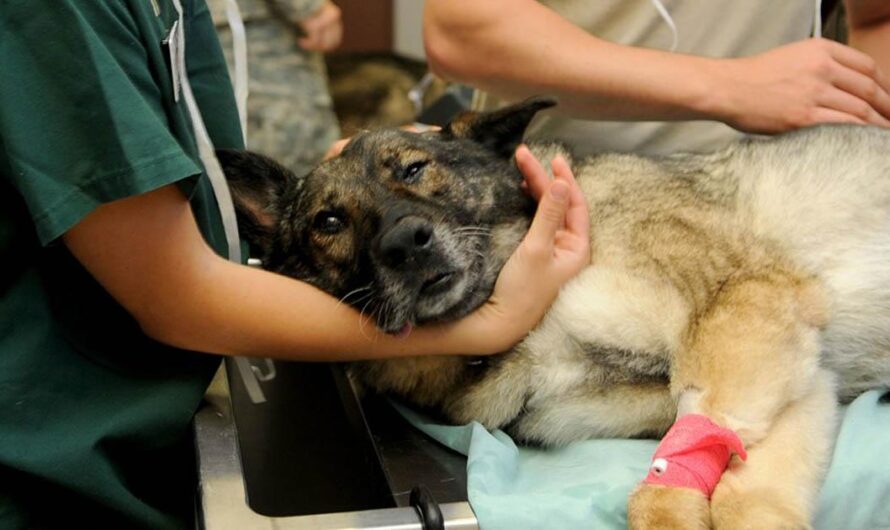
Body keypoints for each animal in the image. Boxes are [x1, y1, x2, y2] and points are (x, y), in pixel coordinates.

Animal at [219, 97, 888, 524]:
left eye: (413, 168)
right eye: (329, 222)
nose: (406, 244)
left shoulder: (750, 306)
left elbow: (690, 475)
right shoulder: (793, 377)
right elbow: (737, 482)